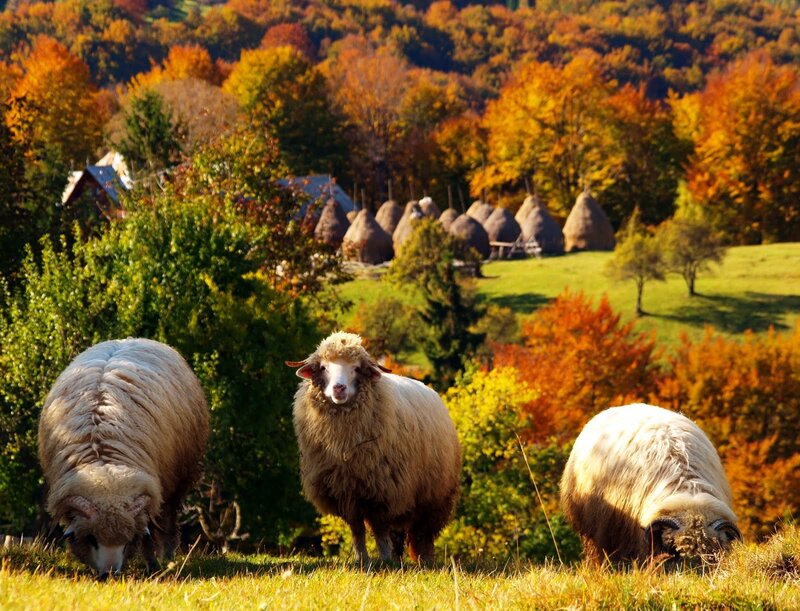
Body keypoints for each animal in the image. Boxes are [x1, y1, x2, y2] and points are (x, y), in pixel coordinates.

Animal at [38, 338, 209, 578]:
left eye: (127, 542)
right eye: (92, 539)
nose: (110, 574)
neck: (103, 463)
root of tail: (130, 339)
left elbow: (148, 532)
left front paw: (152, 565)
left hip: (178, 478)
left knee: (168, 516)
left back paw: (167, 554)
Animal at [287, 331, 461, 565]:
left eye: (356, 368)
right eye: (323, 367)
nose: (339, 388)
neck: (344, 446)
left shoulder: (384, 491)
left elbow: (379, 530)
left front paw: (385, 559)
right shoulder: (347, 493)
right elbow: (357, 530)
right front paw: (362, 559)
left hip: (435, 497)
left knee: (422, 533)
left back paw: (423, 560)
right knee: (400, 534)